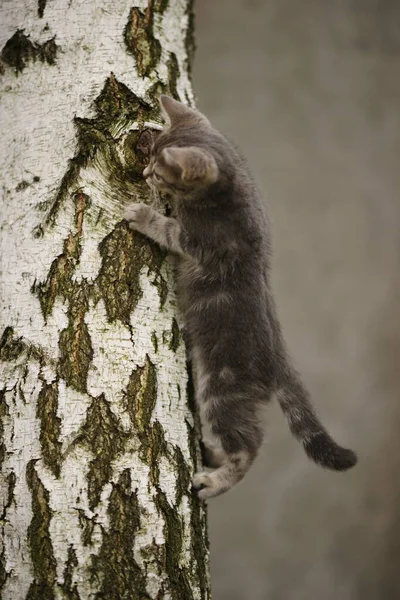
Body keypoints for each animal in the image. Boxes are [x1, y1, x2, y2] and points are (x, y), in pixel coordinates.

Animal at [124, 96, 356, 500]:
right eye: (148, 157)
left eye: (160, 171)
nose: (146, 173)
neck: (230, 189)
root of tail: (278, 356)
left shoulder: (202, 244)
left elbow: (167, 229)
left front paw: (143, 215)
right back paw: (211, 455)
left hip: (222, 388)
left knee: (250, 444)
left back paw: (216, 480)